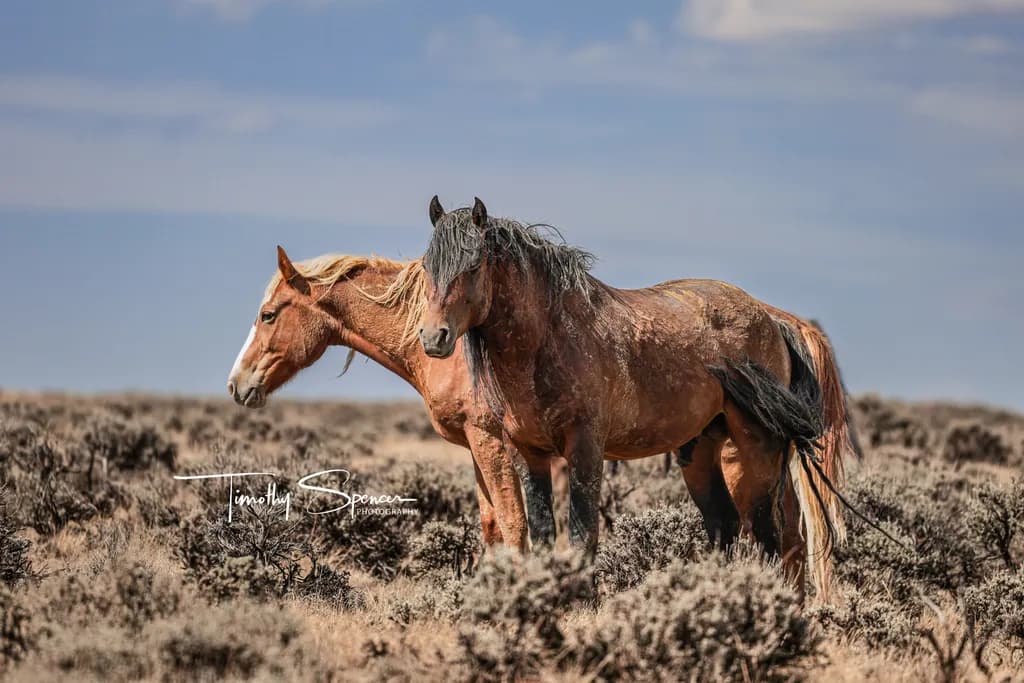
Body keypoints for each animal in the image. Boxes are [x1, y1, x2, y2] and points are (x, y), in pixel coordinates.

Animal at [417, 197, 857, 599]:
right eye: (428, 268)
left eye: (473, 266)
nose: (434, 337)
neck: (548, 340)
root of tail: (772, 320)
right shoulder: (529, 453)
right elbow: (543, 533)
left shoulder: (586, 449)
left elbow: (582, 534)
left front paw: (581, 601)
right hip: (699, 451)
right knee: (725, 524)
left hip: (757, 449)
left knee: (768, 532)